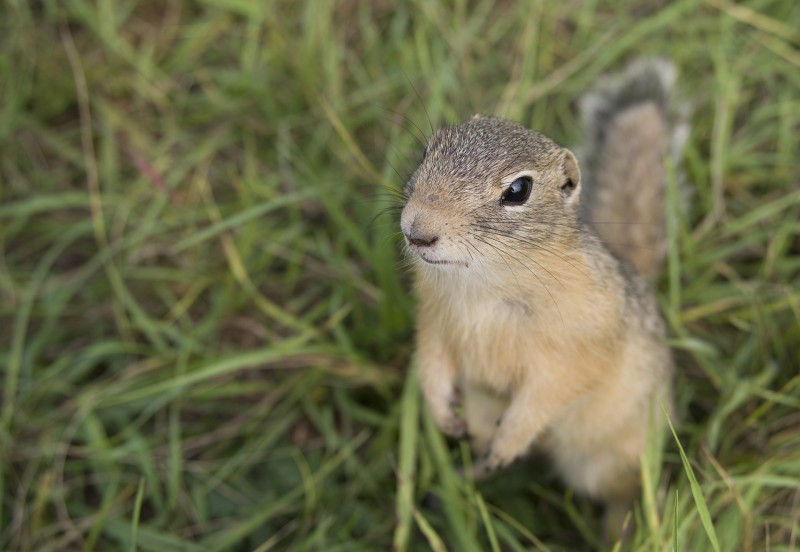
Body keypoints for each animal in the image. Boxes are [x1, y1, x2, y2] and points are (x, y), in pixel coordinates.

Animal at [400, 60, 688, 532]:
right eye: (427, 151)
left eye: (518, 190)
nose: (417, 231)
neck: (487, 281)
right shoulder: (434, 316)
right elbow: (432, 358)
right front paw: (440, 409)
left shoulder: (580, 343)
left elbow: (553, 388)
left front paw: (514, 434)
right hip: (481, 411)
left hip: (606, 461)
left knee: (623, 491)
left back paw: (622, 529)